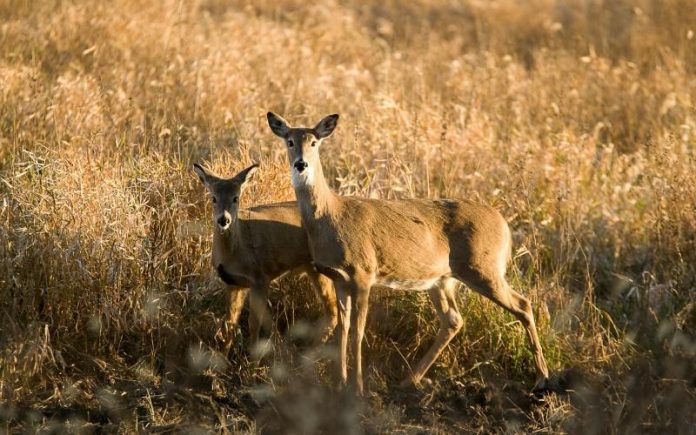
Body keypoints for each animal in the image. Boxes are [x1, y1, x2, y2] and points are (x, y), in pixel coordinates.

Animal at [193, 162, 338, 351]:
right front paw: (222, 354)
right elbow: (229, 323)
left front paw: (252, 355)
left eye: (236, 198)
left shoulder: (260, 278)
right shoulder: (233, 283)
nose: (223, 220)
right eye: (213, 198)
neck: (235, 254)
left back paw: (312, 349)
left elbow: (254, 322)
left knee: (334, 308)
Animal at [267, 112, 550, 396]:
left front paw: (357, 388)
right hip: (442, 280)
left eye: (314, 142)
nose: (301, 164)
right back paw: (409, 380)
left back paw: (542, 378)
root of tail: (504, 225)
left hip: (483, 267)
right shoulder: (338, 278)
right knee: (453, 319)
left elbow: (358, 331)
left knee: (523, 304)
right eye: (290, 141)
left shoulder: (363, 272)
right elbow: (342, 329)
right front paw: (339, 383)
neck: (331, 216)